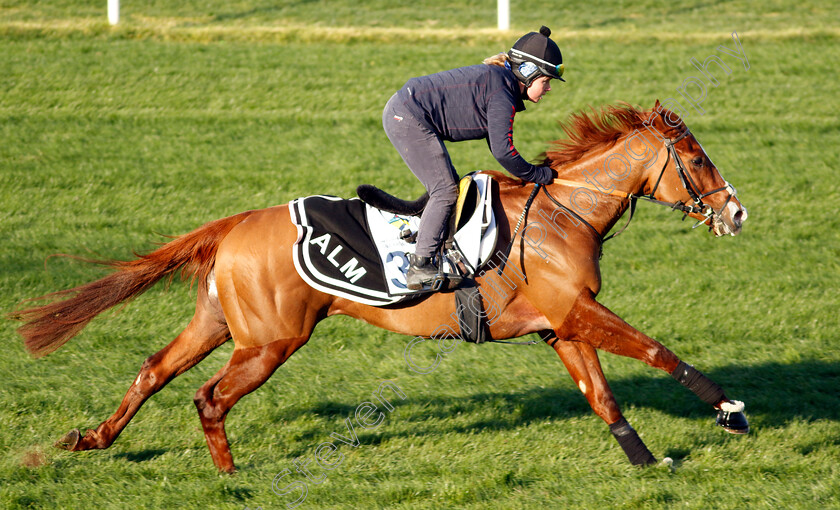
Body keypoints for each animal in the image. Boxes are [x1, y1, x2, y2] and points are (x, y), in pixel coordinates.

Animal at [13, 101, 748, 472]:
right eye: (698, 158)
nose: (737, 212)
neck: (563, 212)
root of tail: (234, 224)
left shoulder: (560, 325)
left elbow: (602, 396)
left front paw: (646, 461)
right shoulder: (578, 311)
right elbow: (656, 351)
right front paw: (730, 410)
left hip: (222, 323)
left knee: (154, 369)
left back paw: (91, 440)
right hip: (271, 341)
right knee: (208, 396)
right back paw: (228, 476)